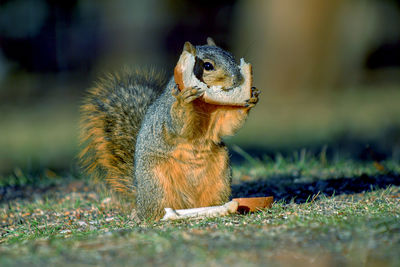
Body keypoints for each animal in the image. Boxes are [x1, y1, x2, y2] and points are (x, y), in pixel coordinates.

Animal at [79, 38, 260, 222]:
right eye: (208, 66)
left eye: (231, 56)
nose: (238, 80)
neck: (205, 105)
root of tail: (140, 199)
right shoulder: (168, 114)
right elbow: (179, 124)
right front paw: (184, 101)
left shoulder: (220, 116)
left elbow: (229, 123)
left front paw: (251, 97)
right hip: (157, 183)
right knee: (155, 209)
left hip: (220, 176)